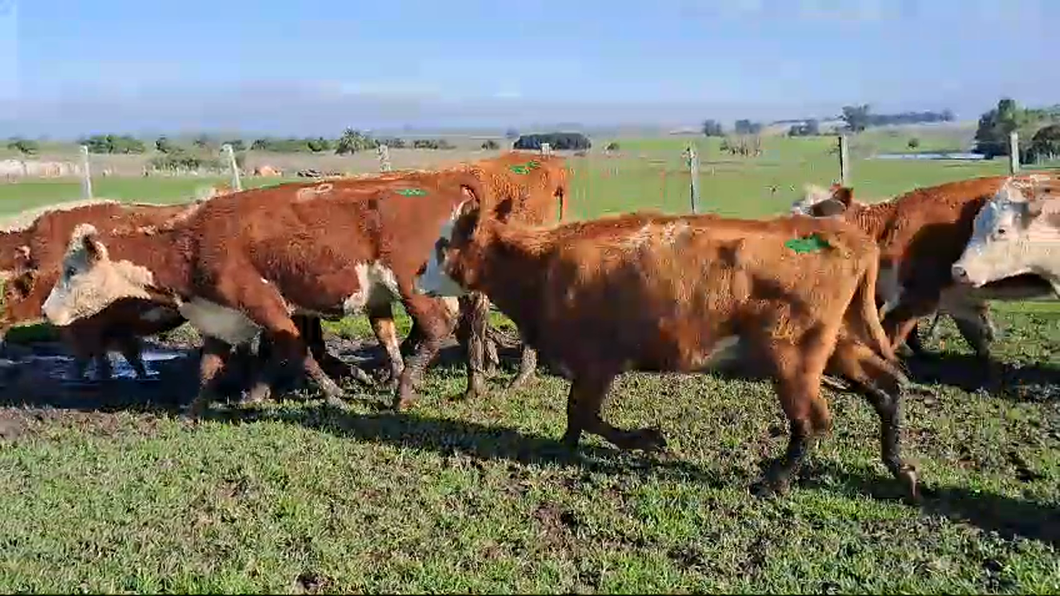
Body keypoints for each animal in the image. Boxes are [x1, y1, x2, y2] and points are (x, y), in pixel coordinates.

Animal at [40, 170, 487, 413]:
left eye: (72, 270)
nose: (46, 312)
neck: (194, 243)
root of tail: (442, 188)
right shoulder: (220, 317)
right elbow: (209, 367)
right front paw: (194, 410)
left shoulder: (265, 304)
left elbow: (297, 352)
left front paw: (334, 395)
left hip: (412, 285)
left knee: (436, 328)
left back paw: (403, 392)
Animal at [413, 199, 920, 496]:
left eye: (441, 243)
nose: (417, 272)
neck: (541, 264)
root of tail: (843, 234)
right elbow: (578, 415)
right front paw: (566, 445)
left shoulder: (598, 360)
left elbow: (584, 411)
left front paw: (644, 440)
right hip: (836, 344)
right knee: (887, 388)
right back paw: (900, 468)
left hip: (793, 355)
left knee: (812, 420)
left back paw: (775, 480)